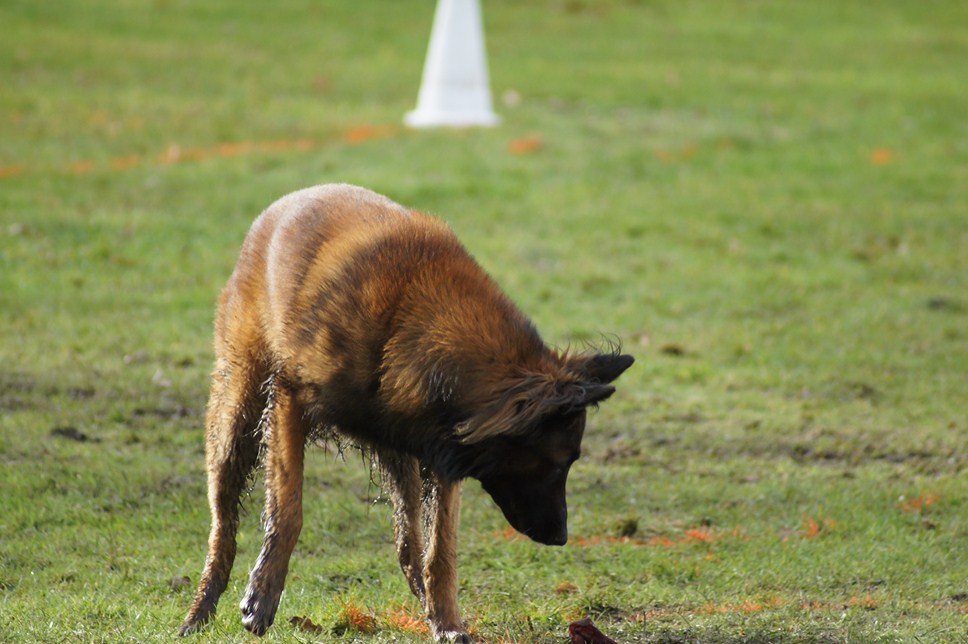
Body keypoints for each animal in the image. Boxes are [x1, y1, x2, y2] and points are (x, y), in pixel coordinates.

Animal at [180, 182, 636, 640]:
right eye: (560, 464)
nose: (561, 536)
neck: (415, 320)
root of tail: (289, 200)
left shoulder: (442, 446)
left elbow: (441, 550)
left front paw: (448, 622)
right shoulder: (290, 401)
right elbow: (288, 510)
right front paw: (261, 597)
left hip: (399, 457)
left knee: (407, 543)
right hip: (237, 421)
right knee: (222, 529)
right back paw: (199, 612)